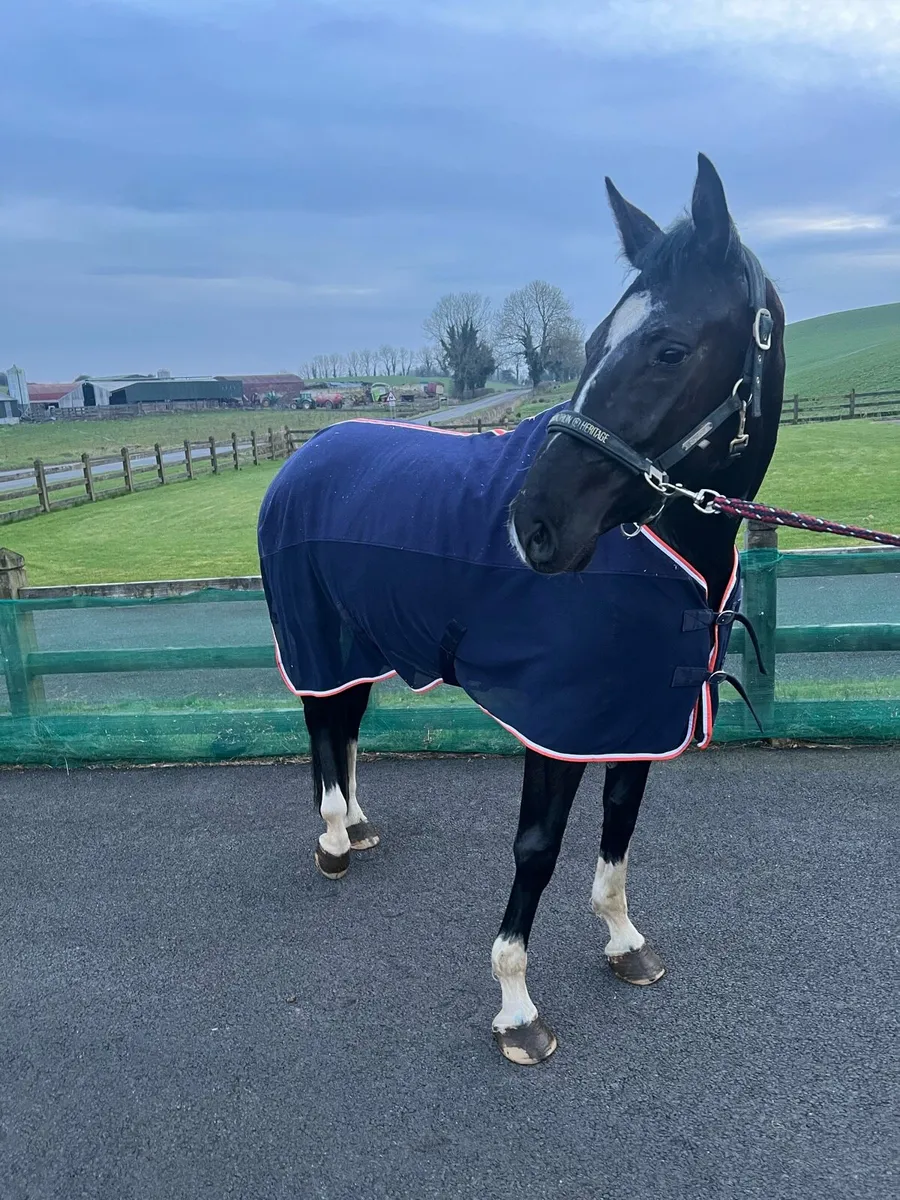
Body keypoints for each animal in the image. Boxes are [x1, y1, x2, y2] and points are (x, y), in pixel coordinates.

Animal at [257, 154, 785, 1066]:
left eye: (669, 347)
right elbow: (536, 851)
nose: (536, 525)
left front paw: (625, 944)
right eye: (598, 344)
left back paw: (355, 825)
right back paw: (330, 840)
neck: (660, 550)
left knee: (346, 722)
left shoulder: (635, 711)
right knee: (322, 722)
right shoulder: (557, 721)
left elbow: (619, 827)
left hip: (362, 641)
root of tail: (304, 456)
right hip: (316, 636)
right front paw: (516, 1009)